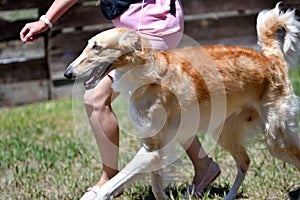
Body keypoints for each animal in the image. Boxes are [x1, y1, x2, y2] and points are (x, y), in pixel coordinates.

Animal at [64, 3, 300, 200]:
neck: (146, 74)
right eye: (88, 45)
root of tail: (270, 59)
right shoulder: (152, 146)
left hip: (276, 140)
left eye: (96, 47)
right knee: (245, 162)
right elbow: (156, 187)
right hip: (225, 132)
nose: (67, 73)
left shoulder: (151, 149)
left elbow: (110, 186)